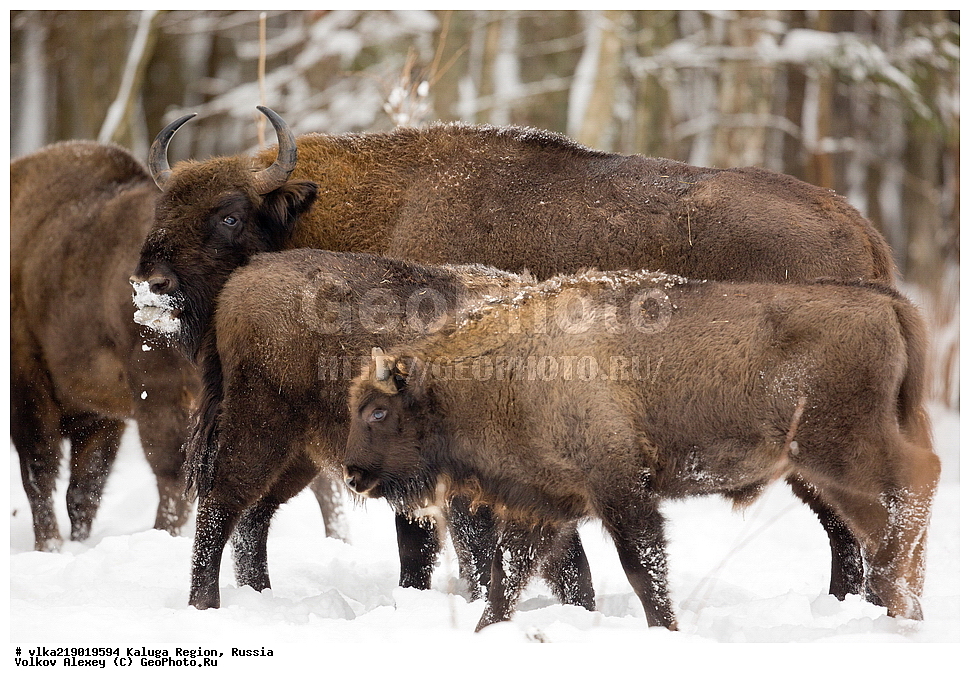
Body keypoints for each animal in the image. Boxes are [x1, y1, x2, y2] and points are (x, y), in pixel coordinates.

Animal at [345, 271, 939, 630]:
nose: (352, 474)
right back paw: (902, 608)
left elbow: (641, 570)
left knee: (914, 487)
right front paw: (485, 632)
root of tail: (887, 304)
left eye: (377, 412)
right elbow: (506, 578)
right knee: (891, 516)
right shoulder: (543, 504)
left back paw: (896, 604)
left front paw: (666, 630)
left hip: (840, 451)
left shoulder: (622, 491)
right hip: (837, 463)